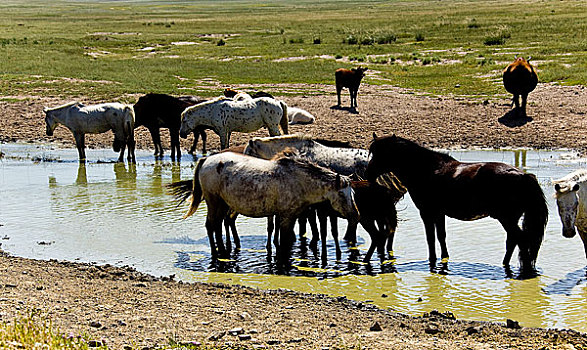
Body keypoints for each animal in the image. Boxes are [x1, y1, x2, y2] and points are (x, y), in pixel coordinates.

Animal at [170, 152, 360, 258]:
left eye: (353, 193)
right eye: (341, 194)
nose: (356, 215)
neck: (299, 181)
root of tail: (206, 159)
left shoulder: (288, 217)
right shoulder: (286, 217)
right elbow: (284, 243)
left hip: (222, 205)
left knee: (217, 226)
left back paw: (223, 250)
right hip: (214, 202)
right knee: (211, 226)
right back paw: (218, 253)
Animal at [366, 133, 548, 270]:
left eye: (382, 153)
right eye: (372, 152)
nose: (368, 173)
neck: (426, 169)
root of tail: (524, 176)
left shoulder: (427, 213)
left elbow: (431, 239)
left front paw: (432, 262)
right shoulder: (439, 214)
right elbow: (441, 236)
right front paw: (444, 259)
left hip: (507, 218)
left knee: (520, 240)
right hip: (511, 219)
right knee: (513, 241)